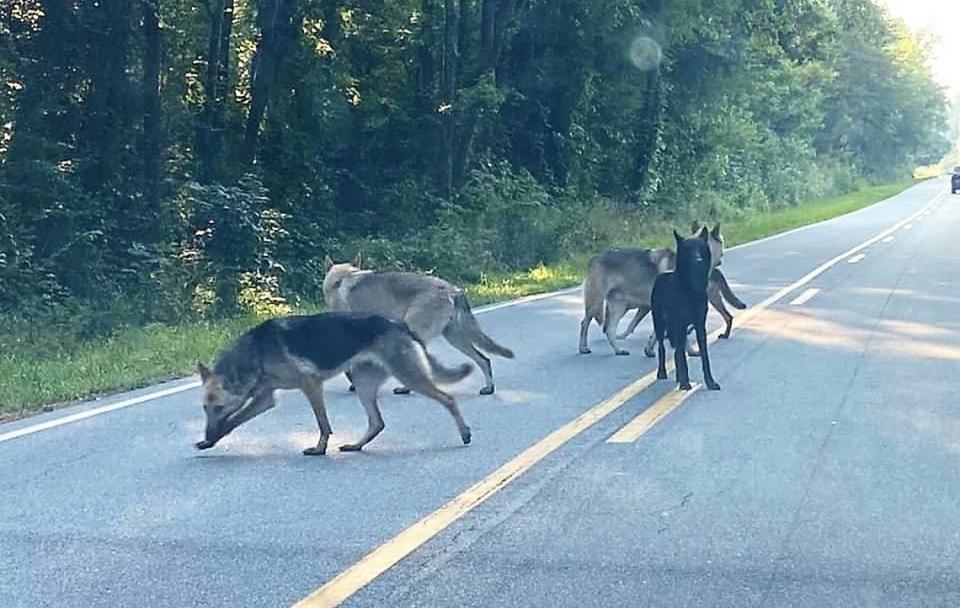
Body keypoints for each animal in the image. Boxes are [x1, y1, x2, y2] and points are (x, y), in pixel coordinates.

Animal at [194, 312, 472, 454]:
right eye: (205, 409)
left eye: (218, 407)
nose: (206, 433)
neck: (257, 353)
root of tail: (400, 324)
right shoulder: (264, 398)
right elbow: (234, 421)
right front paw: (211, 440)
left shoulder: (311, 385)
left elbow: (323, 424)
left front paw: (319, 449)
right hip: (363, 384)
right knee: (377, 422)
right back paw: (356, 445)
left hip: (408, 376)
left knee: (448, 399)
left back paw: (464, 432)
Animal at [322, 255, 512, 394]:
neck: (341, 278)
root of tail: (453, 290)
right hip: (454, 337)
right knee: (484, 359)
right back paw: (489, 387)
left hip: (418, 333)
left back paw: (406, 388)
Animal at [576, 222, 744, 356]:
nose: (721, 260)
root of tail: (594, 258)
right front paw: (690, 351)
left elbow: (657, 334)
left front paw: (650, 349)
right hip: (596, 302)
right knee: (585, 323)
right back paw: (583, 347)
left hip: (619, 306)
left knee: (610, 330)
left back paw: (618, 350)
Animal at [652, 227, 720, 390]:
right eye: (689, 250)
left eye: (699, 248)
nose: (698, 261)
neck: (691, 291)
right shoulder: (680, 325)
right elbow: (682, 357)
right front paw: (685, 383)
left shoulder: (700, 325)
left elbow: (704, 356)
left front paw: (710, 382)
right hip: (660, 325)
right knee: (662, 349)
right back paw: (663, 373)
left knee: (678, 351)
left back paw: (678, 377)